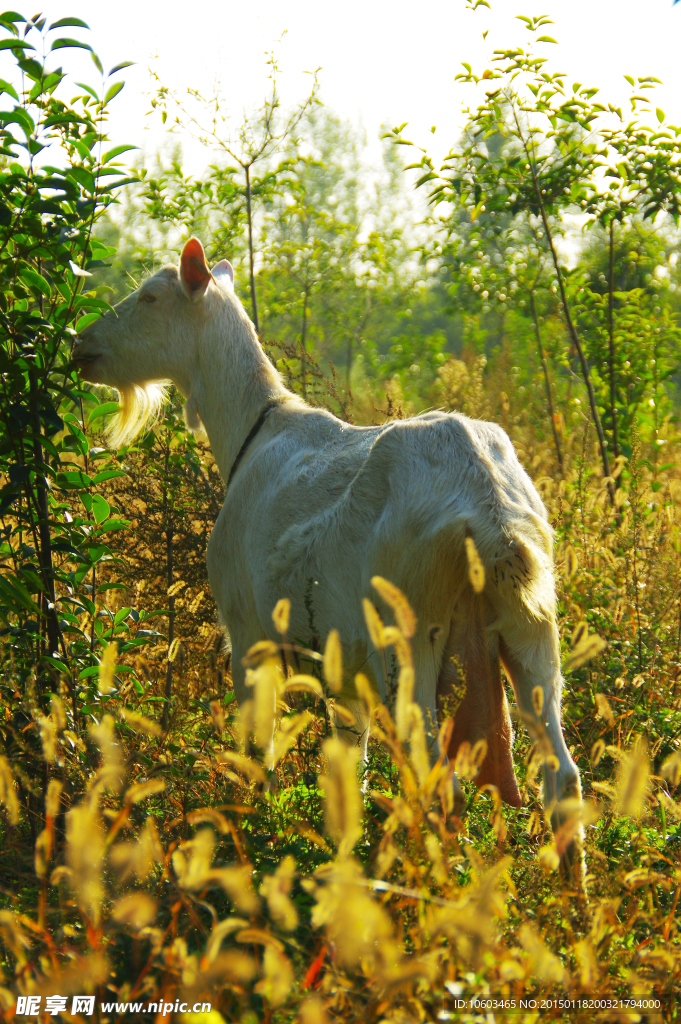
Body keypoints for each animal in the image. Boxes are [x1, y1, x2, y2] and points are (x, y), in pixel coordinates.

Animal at [74, 235, 585, 884]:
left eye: (149, 296)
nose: (81, 345)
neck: (253, 430)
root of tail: (487, 507)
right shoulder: (345, 673)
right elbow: (350, 771)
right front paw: (343, 852)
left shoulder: (246, 632)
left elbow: (258, 750)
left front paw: (257, 834)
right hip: (531, 626)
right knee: (561, 776)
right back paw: (570, 900)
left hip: (409, 638)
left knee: (441, 784)